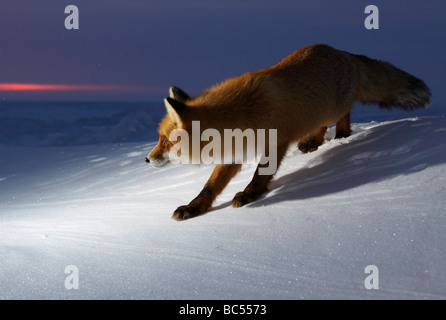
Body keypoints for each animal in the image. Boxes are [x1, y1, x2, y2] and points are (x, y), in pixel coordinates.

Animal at [145, 43, 428, 220]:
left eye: (164, 141)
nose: (146, 159)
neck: (242, 114)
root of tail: (342, 51)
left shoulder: (276, 142)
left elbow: (260, 174)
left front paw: (250, 194)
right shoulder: (234, 152)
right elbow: (209, 186)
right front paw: (194, 208)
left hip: (333, 109)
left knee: (342, 116)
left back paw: (340, 135)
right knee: (318, 125)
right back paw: (312, 142)